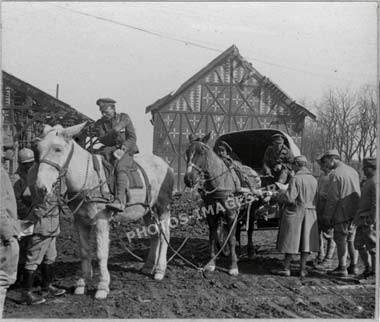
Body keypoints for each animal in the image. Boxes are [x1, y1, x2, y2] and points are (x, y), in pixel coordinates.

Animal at [34, 122, 174, 300]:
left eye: (58, 149)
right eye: (39, 148)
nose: (40, 188)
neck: (88, 180)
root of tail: (166, 165)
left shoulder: (101, 221)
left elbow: (101, 253)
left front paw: (102, 286)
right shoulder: (80, 221)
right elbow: (84, 252)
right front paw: (82, 282)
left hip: (162, 207)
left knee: (164, 236)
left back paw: (159, 271)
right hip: (147, 211)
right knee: (155, 235)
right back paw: (148, 267)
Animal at [185, 132, 240, 276]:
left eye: (202, 152)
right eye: (186, 152)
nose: (188, 179)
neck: (220, 183)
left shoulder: (232, 215)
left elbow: (232, 240)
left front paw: (233, 266)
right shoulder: (211, 216)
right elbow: (213, 237)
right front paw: (211, 264)